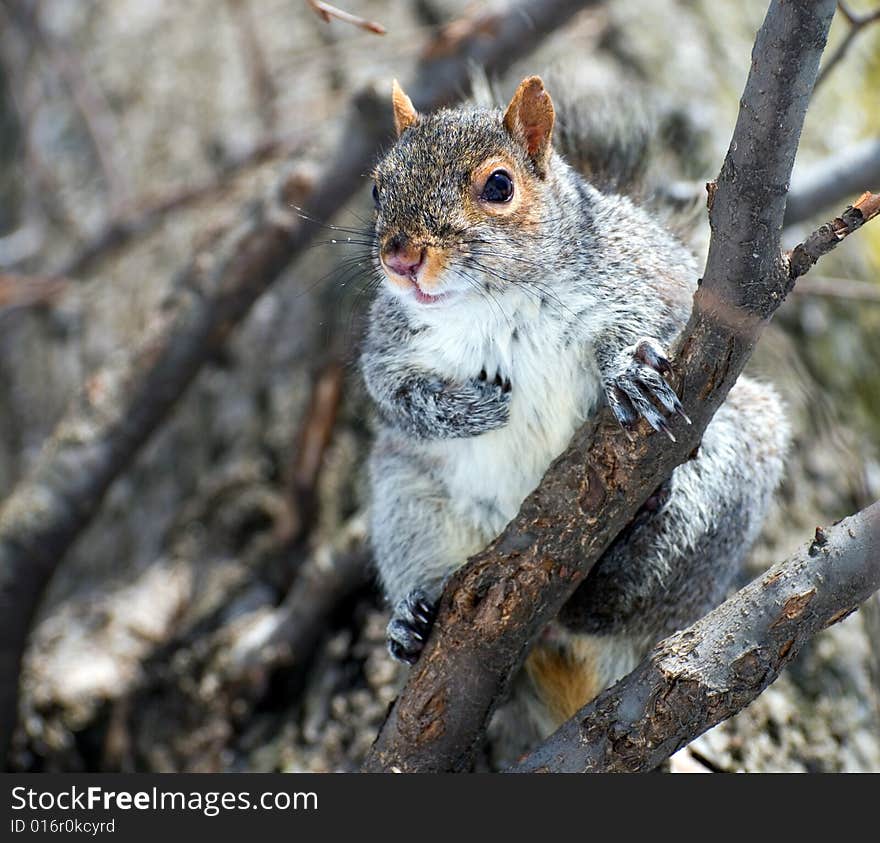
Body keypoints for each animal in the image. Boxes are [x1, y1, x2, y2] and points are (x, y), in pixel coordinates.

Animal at [358, 74, 792, 740]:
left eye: (499, 186)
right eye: (379, 187)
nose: (399, 259)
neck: (491, 305)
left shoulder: (648, 281)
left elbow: (652, 326)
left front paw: (628, 373)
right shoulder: (389, 344)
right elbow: (394, 396)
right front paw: (467, 410)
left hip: (731, 471)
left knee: (615, 607)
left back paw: (641, 524)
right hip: (405, 496)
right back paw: (412, 616)